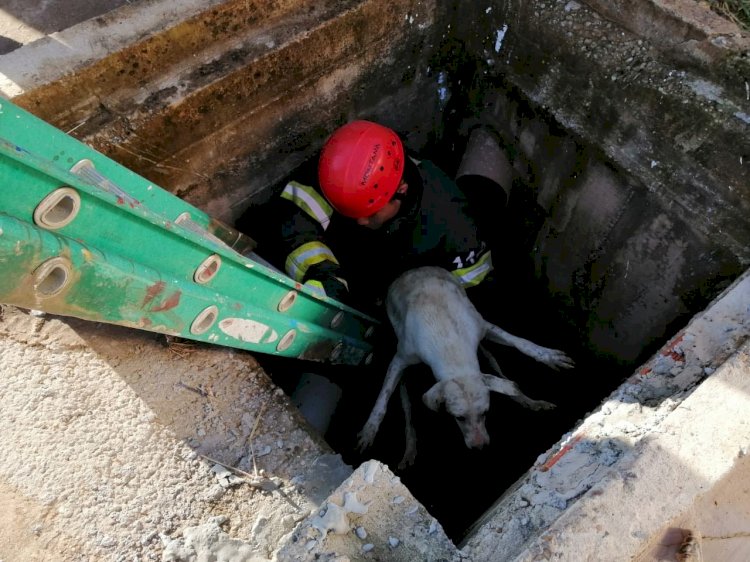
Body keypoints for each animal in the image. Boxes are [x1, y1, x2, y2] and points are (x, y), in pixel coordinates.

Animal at [358, 264, 576, 466]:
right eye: (459, 418)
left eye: (486, 412)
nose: (480, 447)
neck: (450, 346)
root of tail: (413, 269)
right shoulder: (401, 358)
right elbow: (383, 398)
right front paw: (369, 430)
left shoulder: (484, 327)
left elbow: (522, 343)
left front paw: (548, 356)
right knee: (406, 405)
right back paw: (409, 448)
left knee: (499, 371)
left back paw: (529, 400)